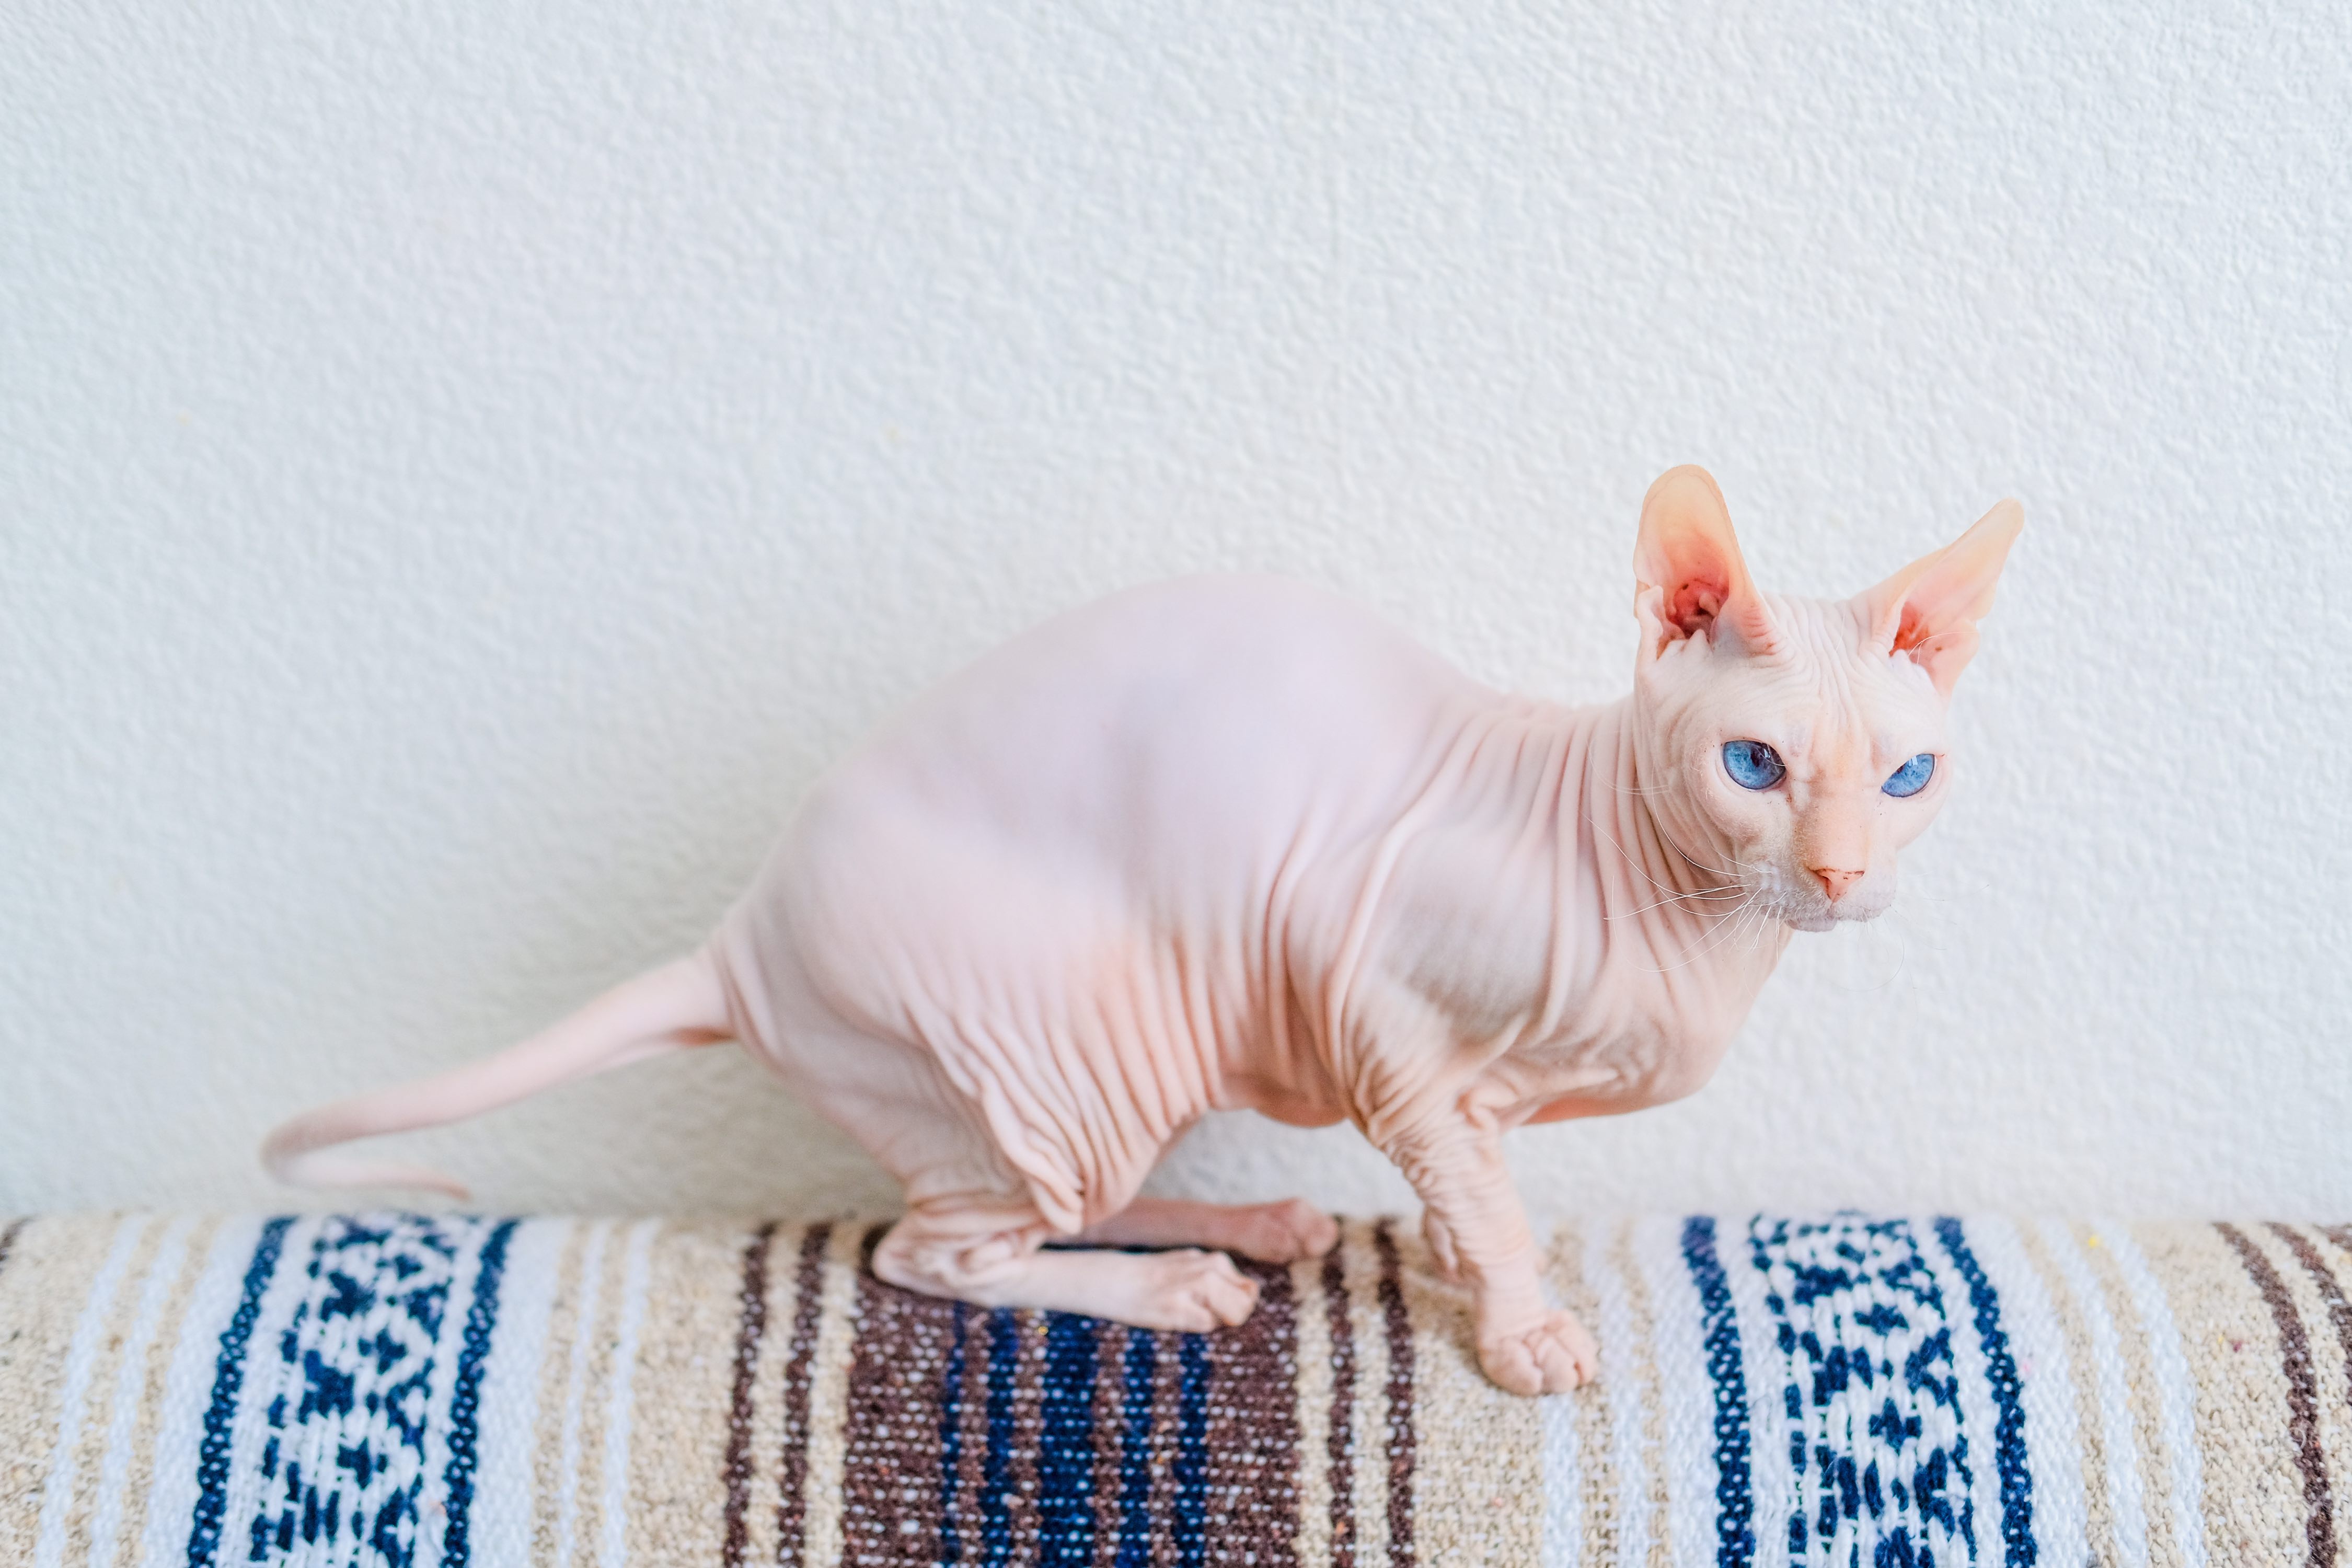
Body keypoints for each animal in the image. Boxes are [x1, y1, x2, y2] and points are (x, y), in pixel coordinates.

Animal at [267, 465, 2013, 1401]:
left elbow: (1470, 1183)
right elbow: (1484, 1189)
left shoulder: (1445, 1082)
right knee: (937, 1250)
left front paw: (1454, 1263)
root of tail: (736, 941)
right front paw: (1521, 1327)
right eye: (1753, 766)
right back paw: (1179, 1286)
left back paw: (1247, 1226)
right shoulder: (1391, 1014)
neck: (1680, 922)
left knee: (1040, 1209)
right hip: (1050, 1044)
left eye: (1908, 778)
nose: (1843, 876)